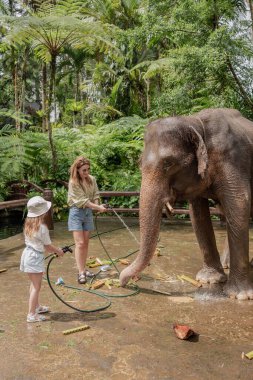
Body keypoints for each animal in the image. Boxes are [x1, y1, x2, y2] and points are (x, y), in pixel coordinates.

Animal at [119, 107, 253, 300]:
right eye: (139, 163)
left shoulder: (233, 160)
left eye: (168, 164)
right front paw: (209, 280)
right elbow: (197, 214)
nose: (122, 282)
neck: (195, 122)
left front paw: (240, 296)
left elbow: (240, 203)